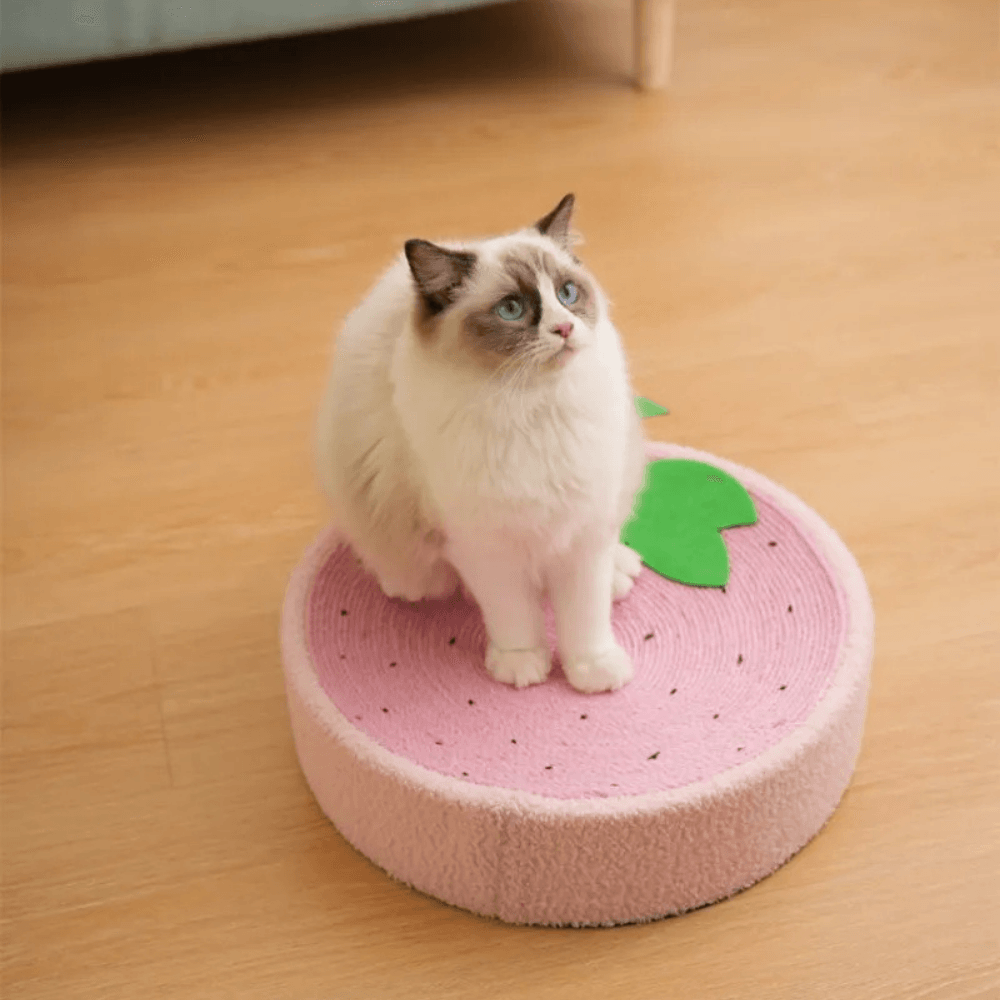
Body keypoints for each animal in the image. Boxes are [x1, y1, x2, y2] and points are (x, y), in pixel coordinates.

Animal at [314, 197, 648, 696]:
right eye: (512, 309)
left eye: (568, 294)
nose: (565, 328)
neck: (532, 411)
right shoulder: (484, 545)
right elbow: (515, 616)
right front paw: (523, 666)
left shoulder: (582, 533)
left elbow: (585, 620)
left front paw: (592, 673)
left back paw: (620, 573)